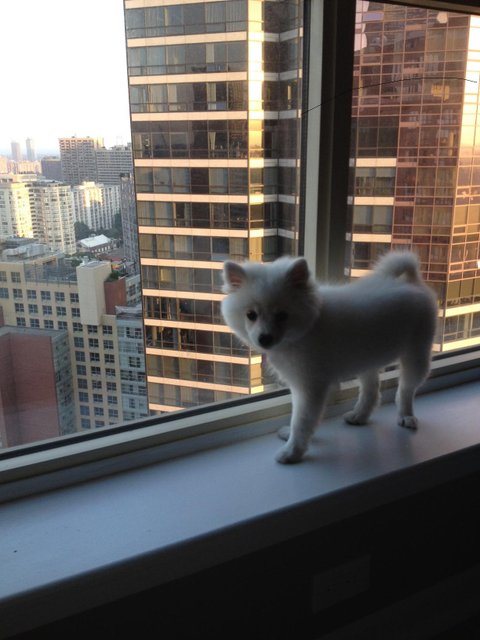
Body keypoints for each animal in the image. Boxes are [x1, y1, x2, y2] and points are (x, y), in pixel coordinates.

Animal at [221, 252, 438, 463]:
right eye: (251, 315)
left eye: (282, 315)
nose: (264, 338)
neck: (304, 330)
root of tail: (412, 283)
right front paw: (290, 438)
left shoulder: (310, 386)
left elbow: (301, 421)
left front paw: (292, 452)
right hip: (366, 358)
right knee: (372, 390)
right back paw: (360, 415)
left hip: (416, 354)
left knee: (405, 390)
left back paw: (406, 416)